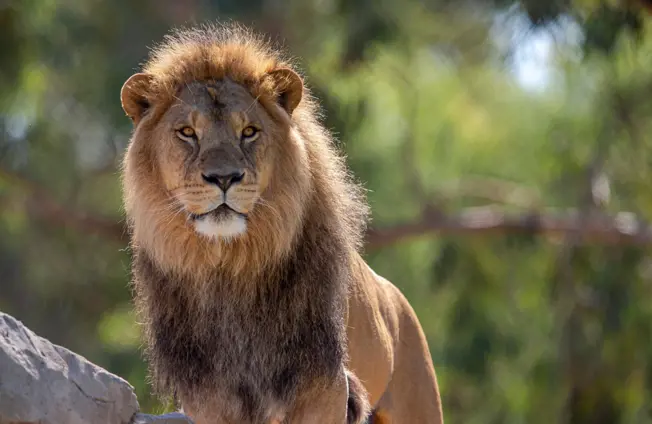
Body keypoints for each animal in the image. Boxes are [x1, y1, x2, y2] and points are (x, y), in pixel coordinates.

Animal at [120, 23, 444, 424]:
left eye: (249, 132)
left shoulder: (324, 385)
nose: (224, 177)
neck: (229, 267)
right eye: (187, 133)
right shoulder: (209, 394)